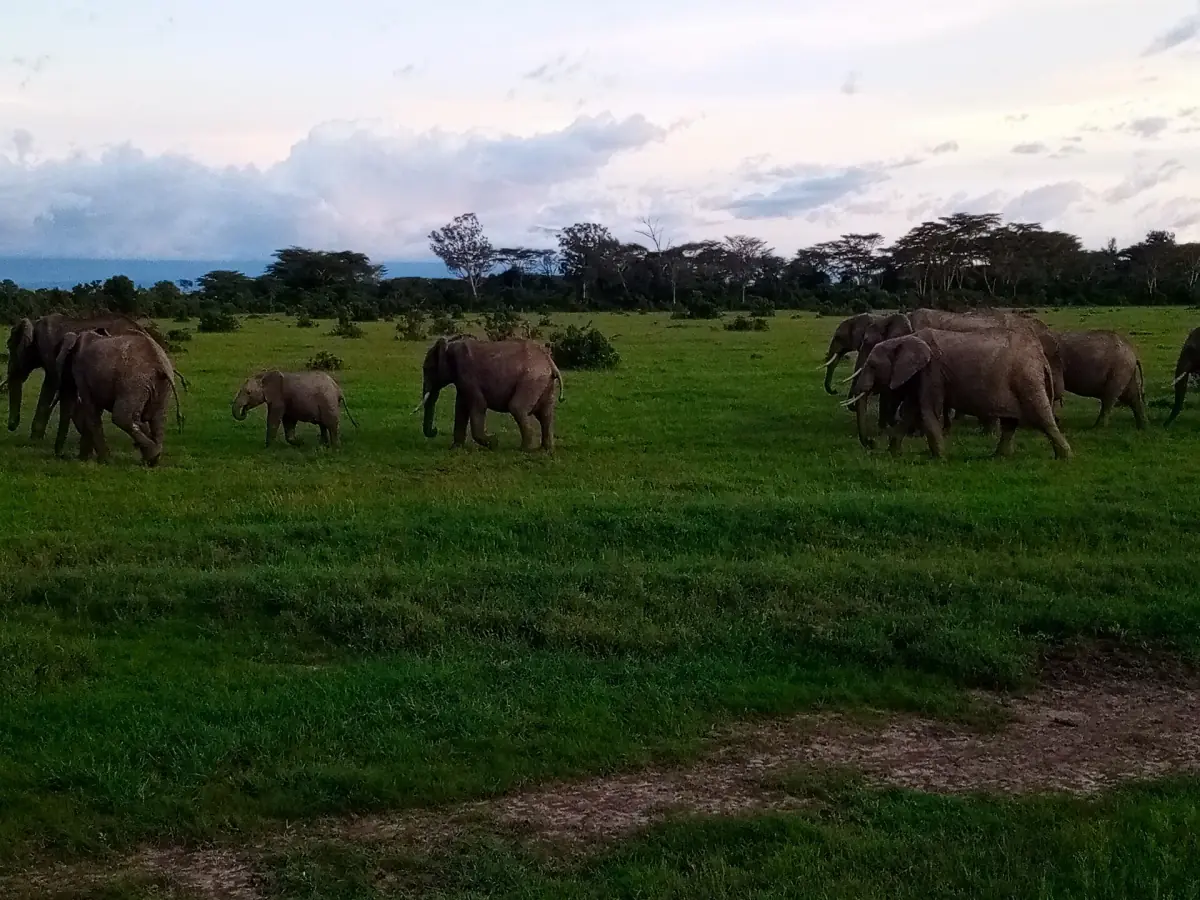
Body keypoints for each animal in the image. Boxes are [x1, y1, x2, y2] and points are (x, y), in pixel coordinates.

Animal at [3, 312, 147, 440]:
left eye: (9, 346)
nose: (11, 426)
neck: (34, 323)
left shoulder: (49, 351)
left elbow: (50, 384)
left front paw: (35, 439)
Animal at [53, 329, 183, 466]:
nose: (61, 456)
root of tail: (161, 365)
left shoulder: (81, 373)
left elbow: (91, 411)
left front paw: (103, 460)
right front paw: (87, 458)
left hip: (133, 383)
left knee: (121, 417)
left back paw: (152, 454)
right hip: (160, 386)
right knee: (158, 419)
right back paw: (152, 459)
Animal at [417, 335, 562, 451]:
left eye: (428, 368)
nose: (435, 430)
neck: (450, 346)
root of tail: (550, 362)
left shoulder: (468, 376)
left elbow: (478, 405)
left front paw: (494, 442)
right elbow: (460, 409)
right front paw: (455, 449)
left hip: (531, 380)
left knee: (517, 408)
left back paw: (524, 449)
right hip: (544, 383)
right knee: (545, 414)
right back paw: (546, 450)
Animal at [843, 327, 1072, 460]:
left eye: (872, 366)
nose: (871, 444)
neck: (905, 339)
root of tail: (1040, 356)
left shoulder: (932, 371)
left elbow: (926, 410)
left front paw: (939, 459)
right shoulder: (921, 374)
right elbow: (911, 411)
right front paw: (893, 455)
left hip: (1026, 378)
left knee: (1042, 417)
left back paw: (1065, 458)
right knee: (1010, 423)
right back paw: (998, 457)